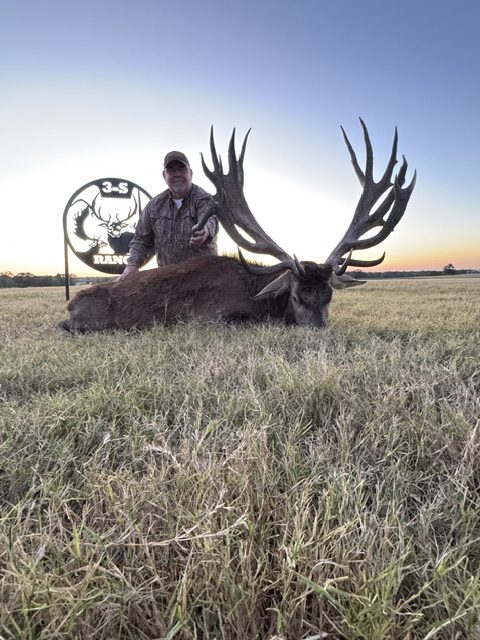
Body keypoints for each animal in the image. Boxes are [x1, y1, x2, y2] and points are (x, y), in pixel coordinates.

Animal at [58, 120, 416, 332]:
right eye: (297, 296)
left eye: (329, 296)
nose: (318, 330)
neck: (258, 294)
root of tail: (71, 303)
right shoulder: (216, 317)